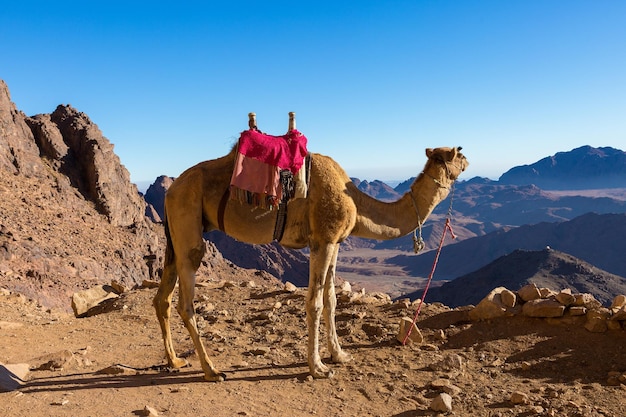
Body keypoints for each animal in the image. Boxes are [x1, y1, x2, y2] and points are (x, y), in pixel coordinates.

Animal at [152, 114, 464, 380]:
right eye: (458, 153)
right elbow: (314, 301)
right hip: (188, 224)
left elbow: (331, 299)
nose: (467, 158)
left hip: (174, 237)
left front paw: (339, 355)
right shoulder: (322, 241)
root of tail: (171, 191)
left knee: (162, 298)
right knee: (185, 301)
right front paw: (318, 367)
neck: (355, 201)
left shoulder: (335, 242)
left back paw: (175, 360)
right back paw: (211, 370)